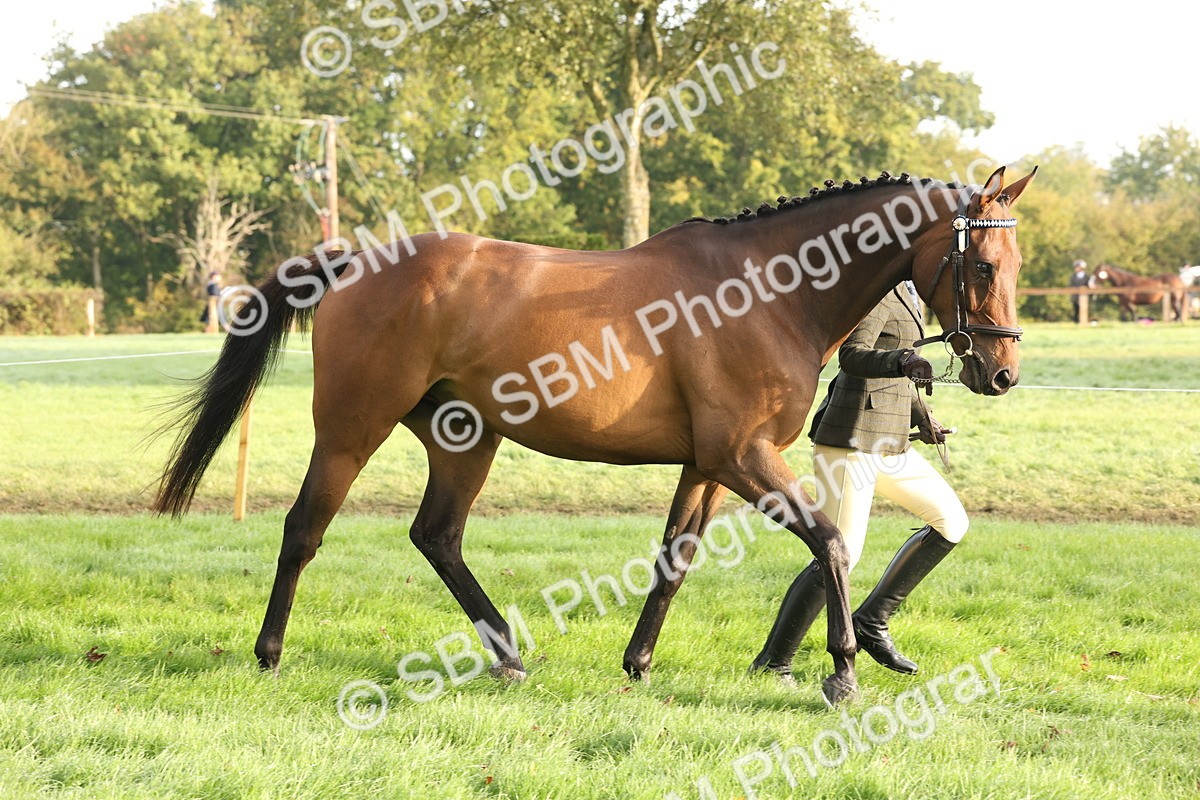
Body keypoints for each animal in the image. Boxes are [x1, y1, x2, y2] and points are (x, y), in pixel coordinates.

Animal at [154, 166, 1036, 705]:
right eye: (981, 265)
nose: (1001, 373)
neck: (767, 291)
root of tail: (348, 259)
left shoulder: (707, 465)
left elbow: (675, 562)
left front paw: (638, 664)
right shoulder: (744, 457)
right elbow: (829, 543)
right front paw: (844, 672)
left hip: (464, 439)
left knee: (437, 536)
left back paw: (509, 657)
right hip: (350, 429)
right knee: (305, 529)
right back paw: (270, 653)